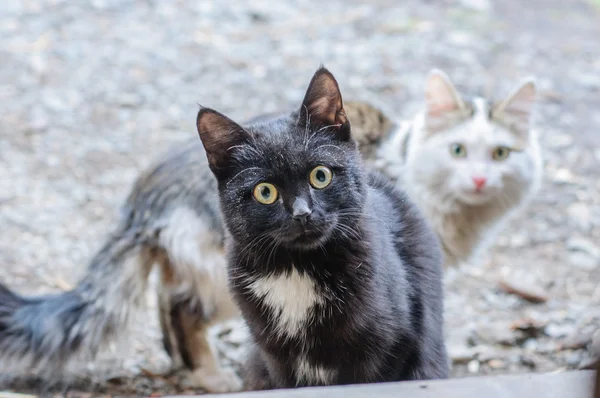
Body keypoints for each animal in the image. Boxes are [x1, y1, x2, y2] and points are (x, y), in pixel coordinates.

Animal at [198, 67, 450, 388]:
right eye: (265, 192)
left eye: (321, 175)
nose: (302, 214)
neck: (297, 269)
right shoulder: (274, 358)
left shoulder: (393, 346)